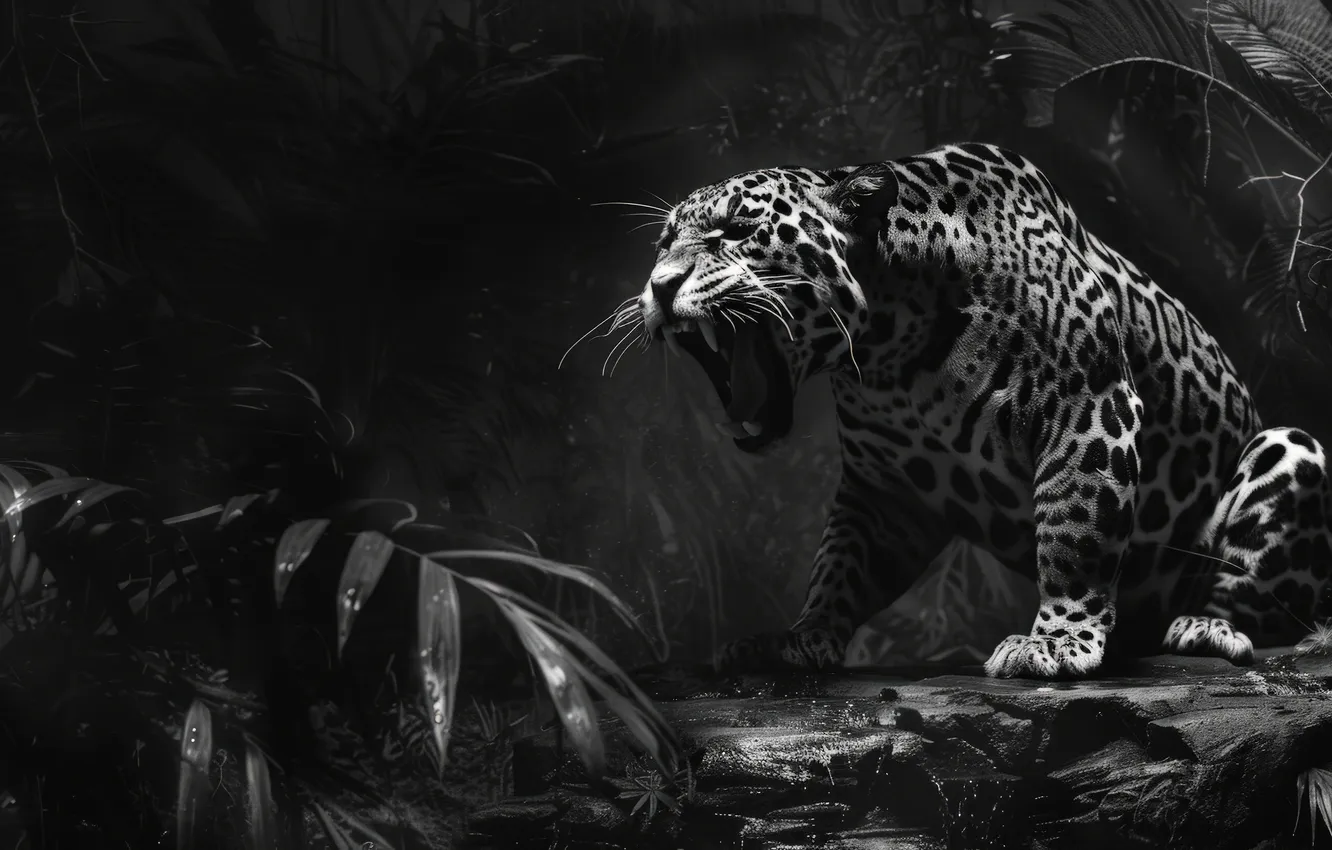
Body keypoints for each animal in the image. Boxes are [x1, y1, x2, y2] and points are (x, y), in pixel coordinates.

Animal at [619, 142, 1332, 679]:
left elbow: (1076, 531)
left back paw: (1206, 626)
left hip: (1292, 448)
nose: (659, 284)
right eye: (664, 241)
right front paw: (801, 635)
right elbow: (842, 561)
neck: (889, 348)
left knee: (1270, 604)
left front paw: (1055, 643)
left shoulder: (1088, 406)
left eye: (737, 232)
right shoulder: (886, 486)